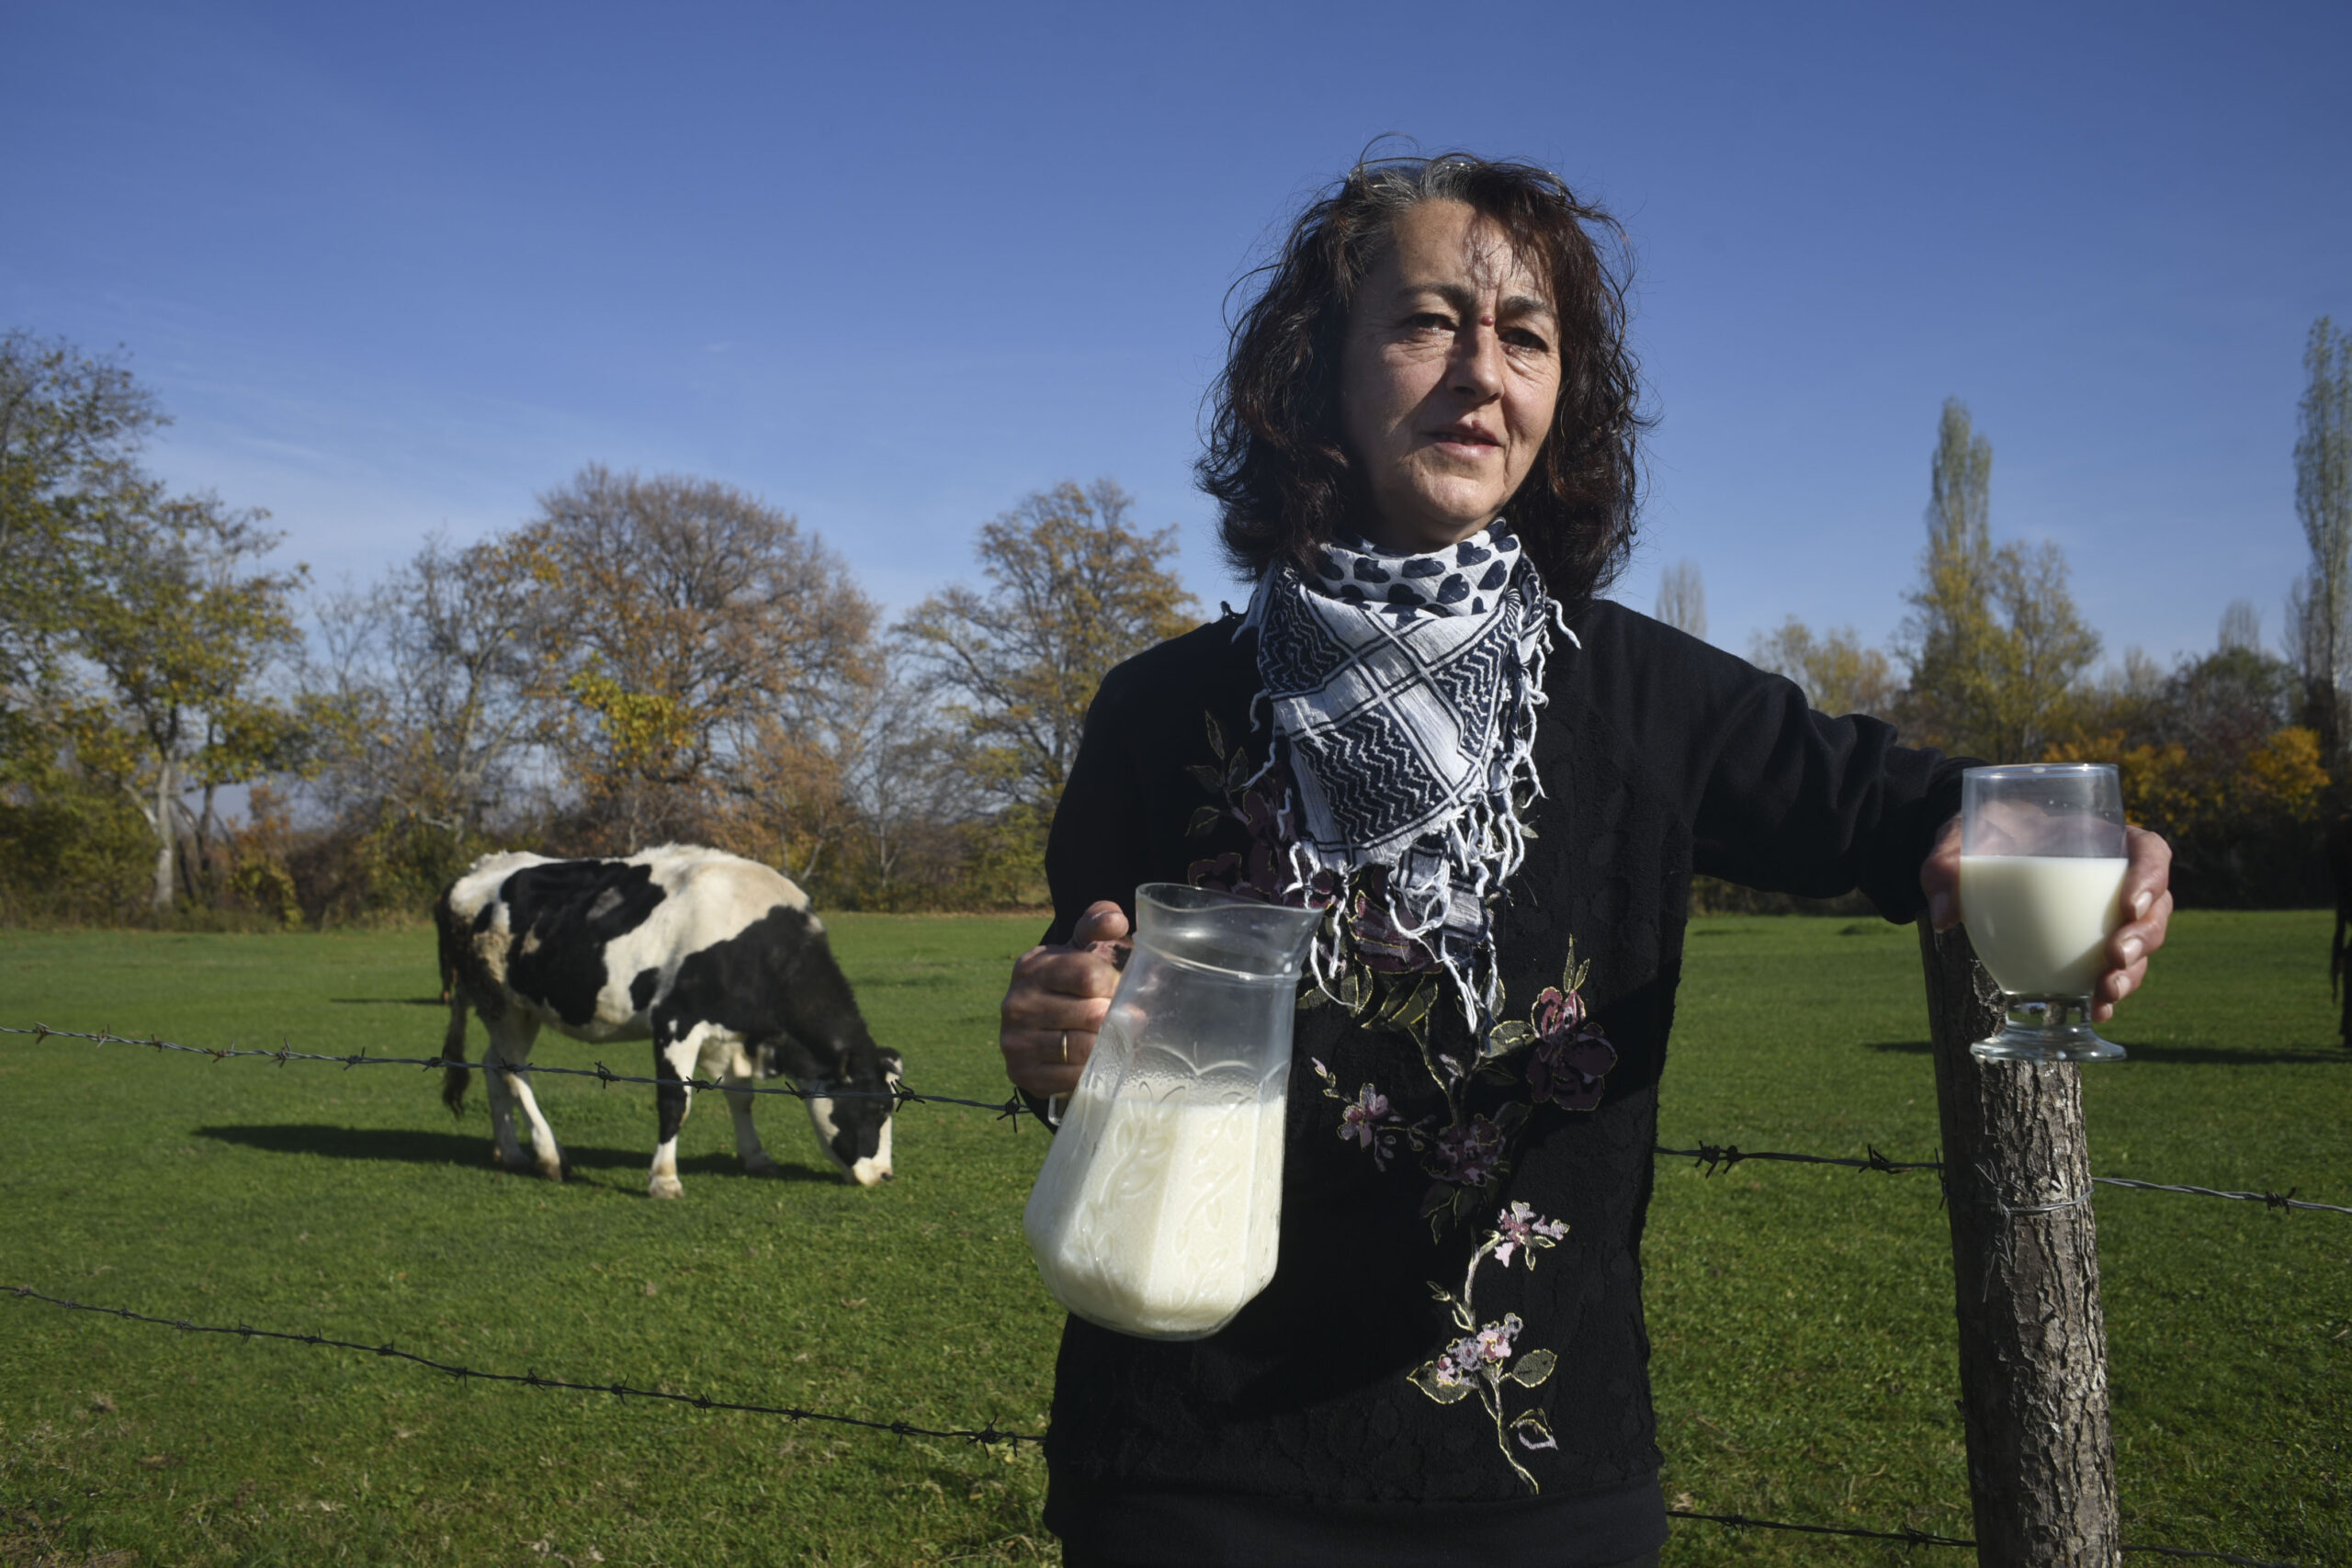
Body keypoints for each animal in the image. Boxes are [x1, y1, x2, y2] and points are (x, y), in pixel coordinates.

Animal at [434, 844, 902, 1197]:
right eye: (877, 1106)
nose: (884, 1175)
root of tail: (474, 872)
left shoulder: (734, 1034)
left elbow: (741, 1098)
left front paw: (756, 1157)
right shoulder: (677, 1022)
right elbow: (677, 1100)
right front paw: (664, 1180)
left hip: (518, 1007)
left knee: (494, 1067)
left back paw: (510, 1152)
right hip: (498, 999)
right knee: (515, 1073)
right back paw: (550, 1157)